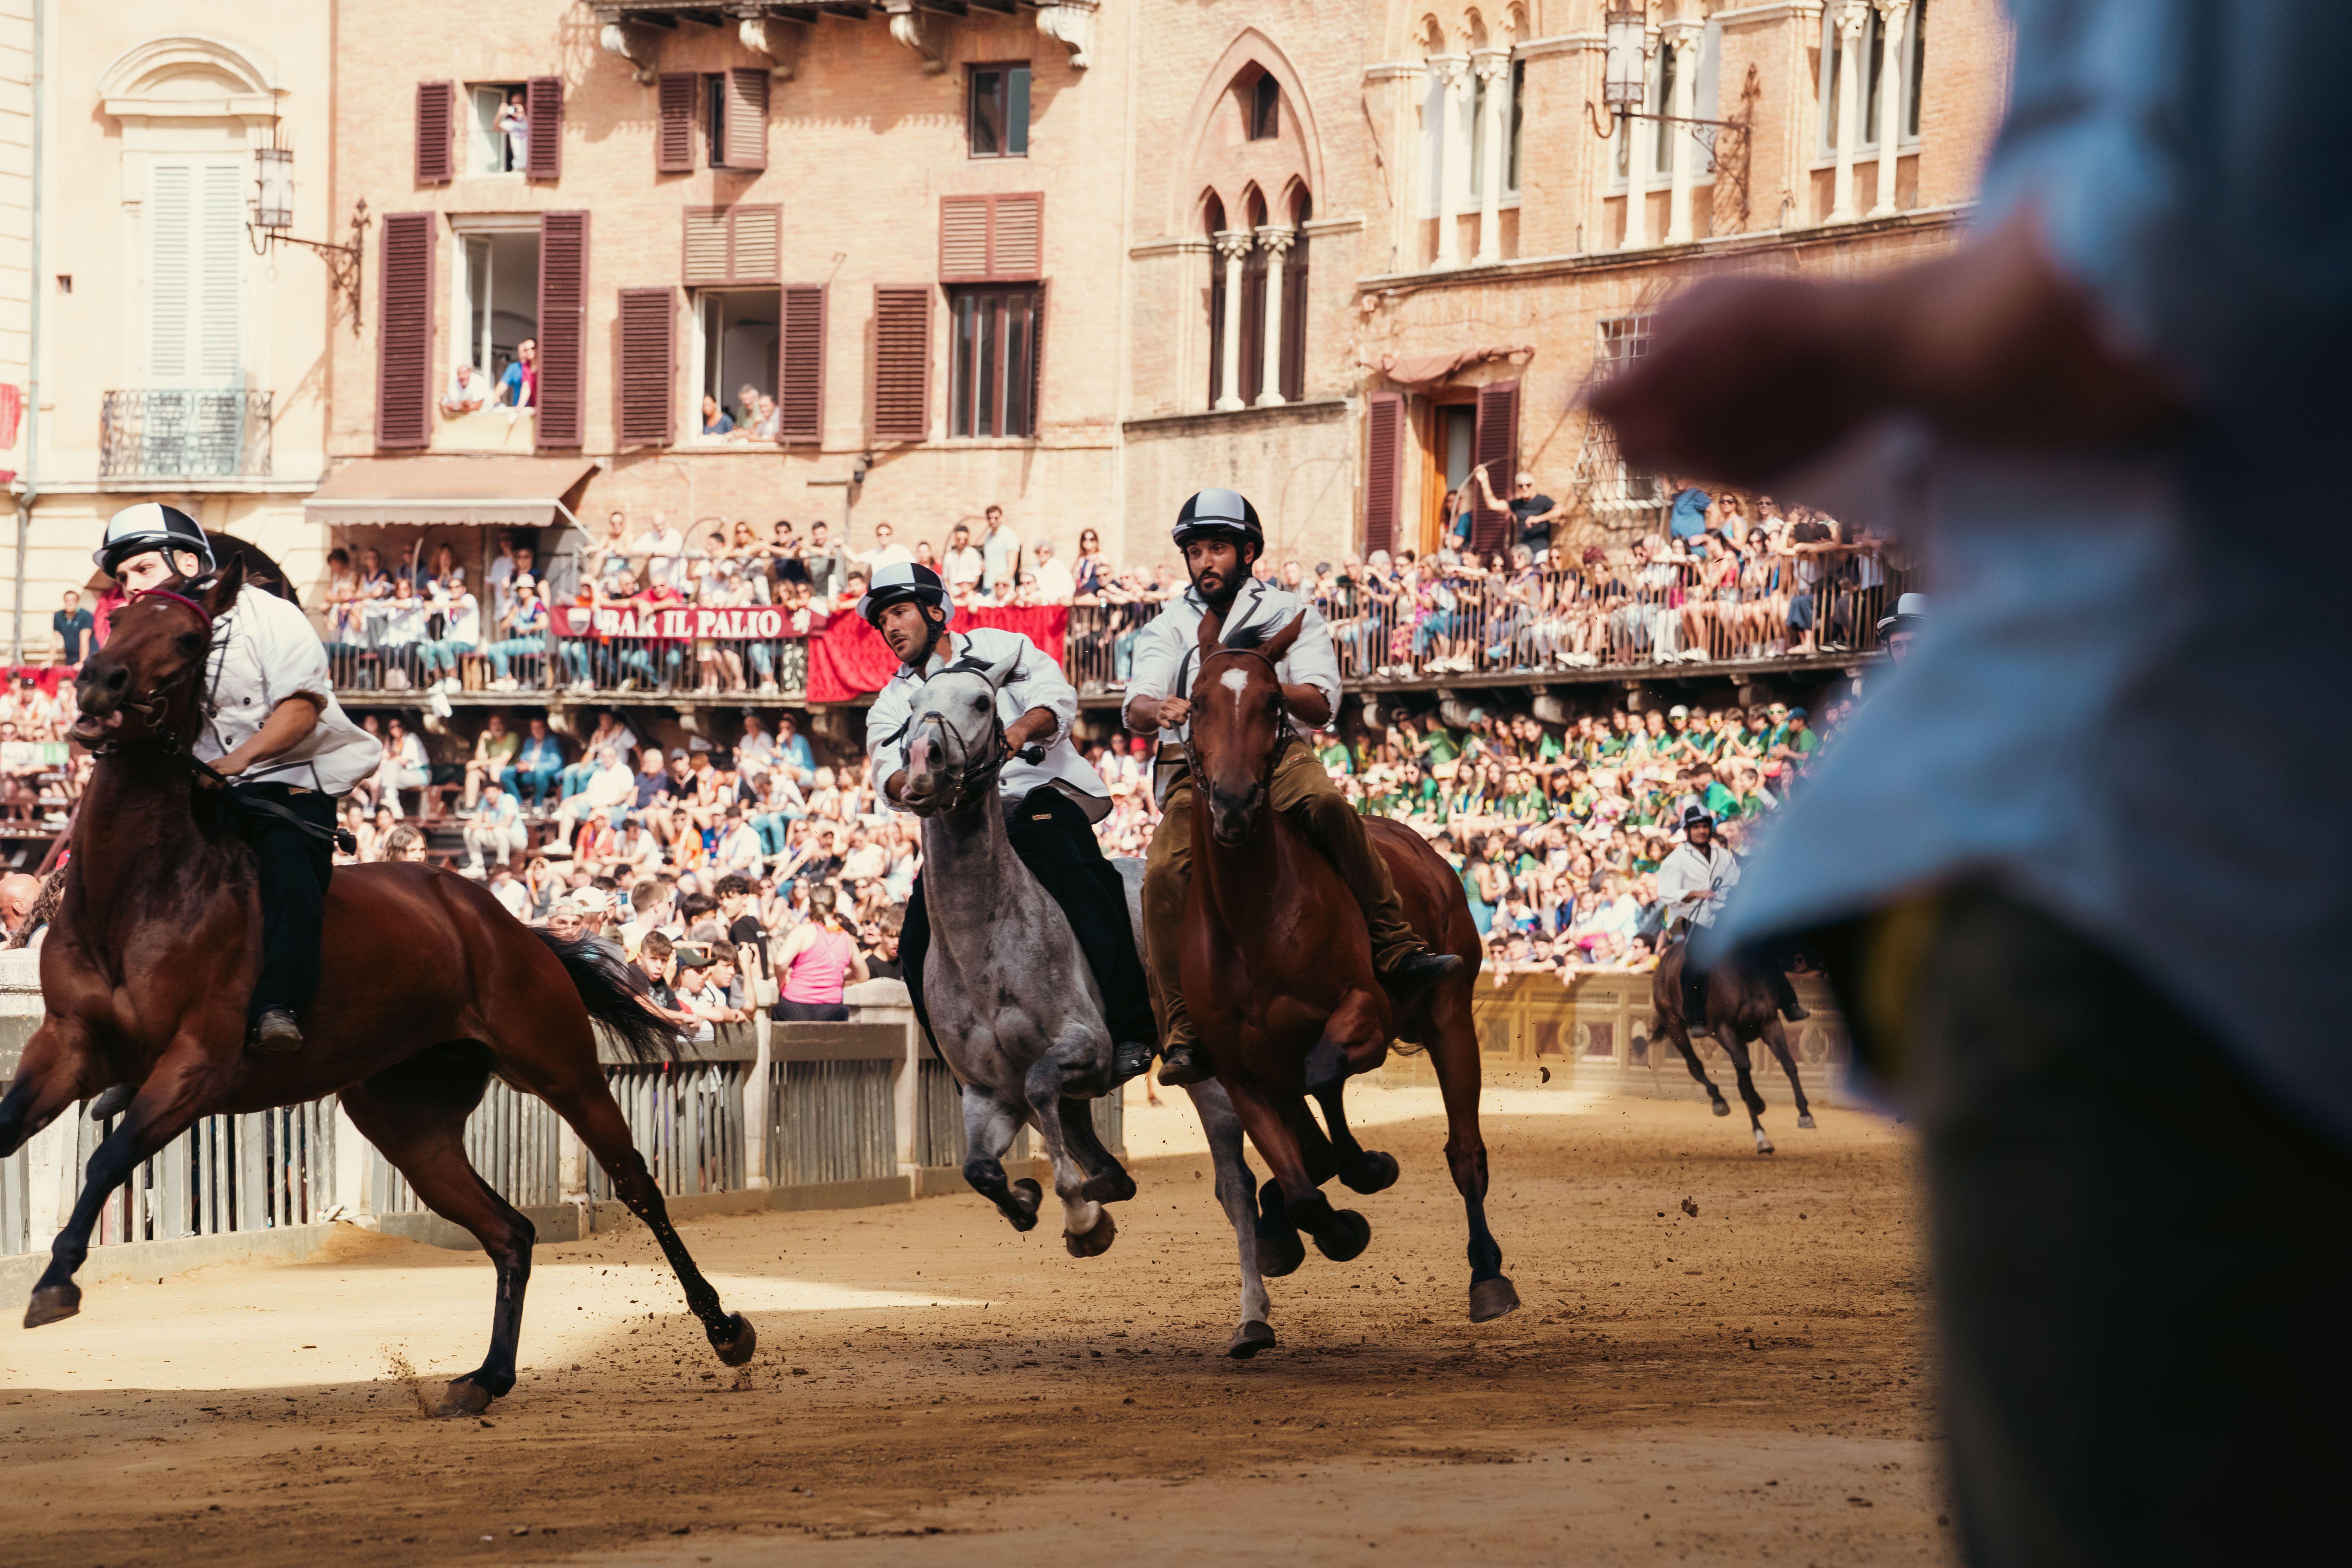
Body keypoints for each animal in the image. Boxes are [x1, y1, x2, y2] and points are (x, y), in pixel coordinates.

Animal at [0, 571, 753, 1420]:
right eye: (121, 615)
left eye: (188, 639)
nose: (100, 682)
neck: (141, 893)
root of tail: (507, 923)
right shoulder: (67, 1042)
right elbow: (16, 1129)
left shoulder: (195, 1065)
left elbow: (108, 1156)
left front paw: (57, 1280)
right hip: (409, 1120)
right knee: (511, 1231)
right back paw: (486, 1376)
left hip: (560, 1066)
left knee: (638, 1188)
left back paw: (725, 1328)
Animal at [898, 649, 1279, 1363]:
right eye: (911, 709)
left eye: (983, 702)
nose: (925, 762)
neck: (984, 943)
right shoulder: (986, 1093)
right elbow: (980, 1167)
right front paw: (1030, 1199)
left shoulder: (1085, 1048)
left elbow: (1047, 1090)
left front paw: (1081, 1215)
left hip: (1210, 1073)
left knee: (1236, 1188)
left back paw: (1253, 1317)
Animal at [1176, 606, 1524, 1316]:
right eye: (1196, 703)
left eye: (1273, 703)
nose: (1232, 802)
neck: (1252, 923)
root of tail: (1427, 851)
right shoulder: (1241, 1071)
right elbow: (1303, 1177)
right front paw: (1315, 1220)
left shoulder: (1365, 1011)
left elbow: (1324, 1073)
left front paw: (1360, 1173)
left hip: (1450, 1014)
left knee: (1464, 1151)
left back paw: (1486, 1272)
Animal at [1656, 940, 1816, 1161]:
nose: (1801, 960)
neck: (1745, 970)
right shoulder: (1725, 1030)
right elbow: (1744, 1072)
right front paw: (1758, 1110)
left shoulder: (1770, 1024)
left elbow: (1788, 1064)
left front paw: (1805, 1114)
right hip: (1674, 1025)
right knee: (1696, 1066)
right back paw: (1720, 1102)